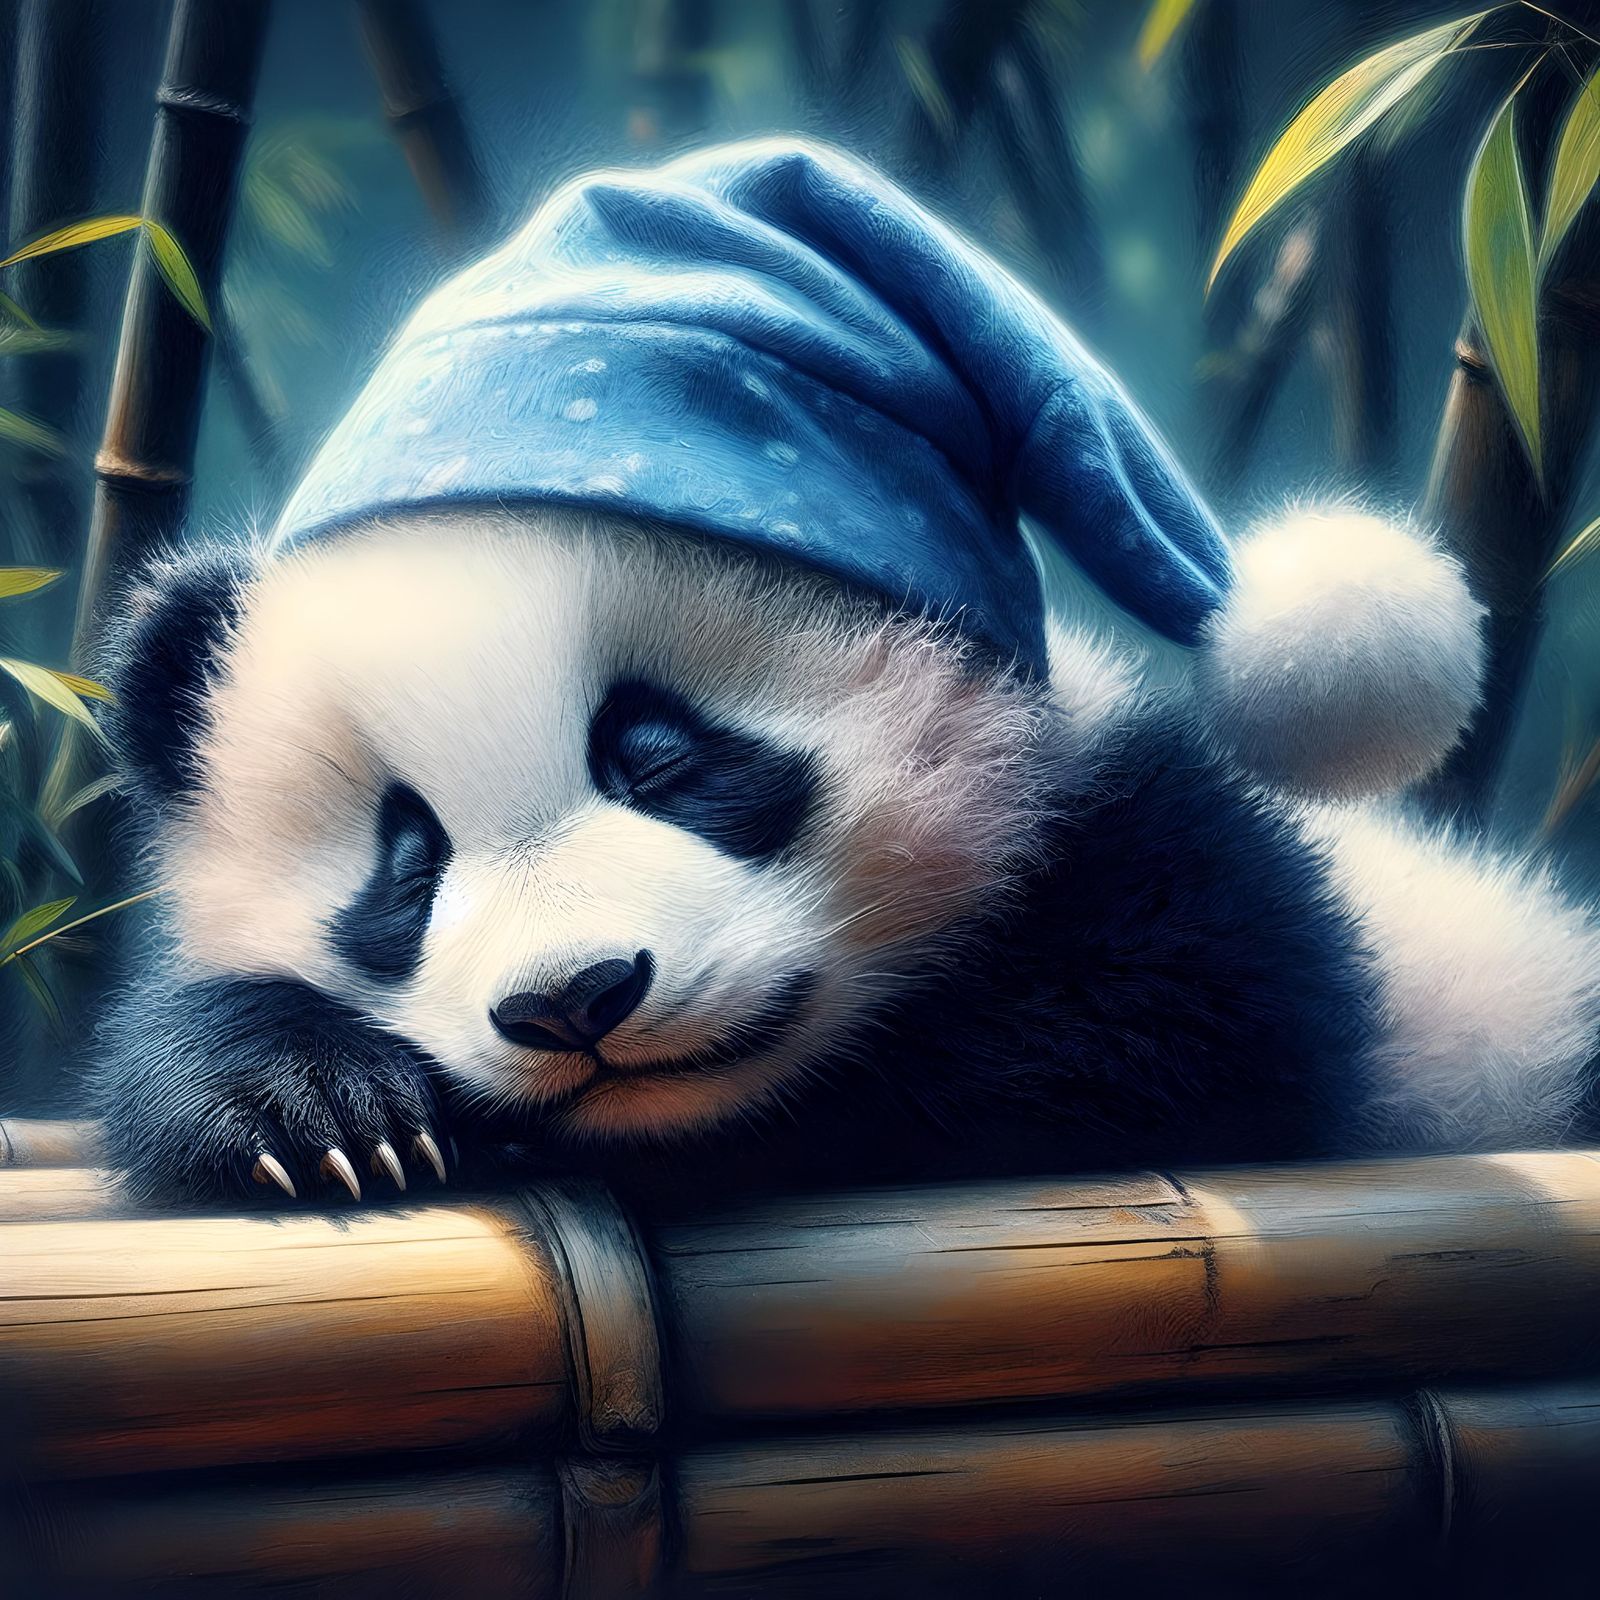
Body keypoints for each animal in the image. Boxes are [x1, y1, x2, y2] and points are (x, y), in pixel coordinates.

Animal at [91, 140, 1600, 1208]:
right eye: (405, 868)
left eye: (664, 760)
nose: (575, 1000)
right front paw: (304, 1102)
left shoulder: (1177, 855)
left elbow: (1152, 1033)